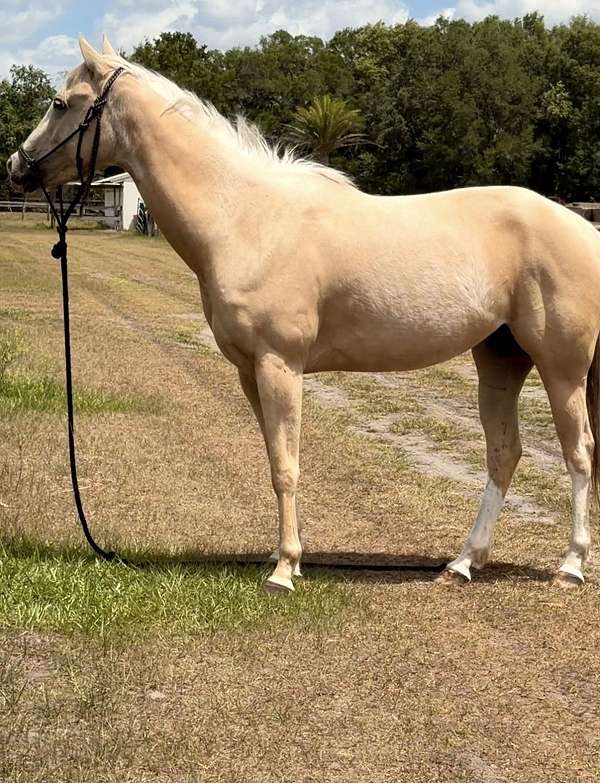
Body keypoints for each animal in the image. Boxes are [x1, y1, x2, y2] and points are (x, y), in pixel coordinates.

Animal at [7, 35, 600, 594]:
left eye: (61, 102)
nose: (17, 166)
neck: (245, 218)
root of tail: (582, 226)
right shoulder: (250, 372)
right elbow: (275, 460)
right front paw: (282, 557)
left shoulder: (280, 365)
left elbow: (287, 468)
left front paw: (284, 571)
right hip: (500, 359)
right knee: (505, 453)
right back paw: (462, 563)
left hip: (561, 367)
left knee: (578, 452)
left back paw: (570, 566)